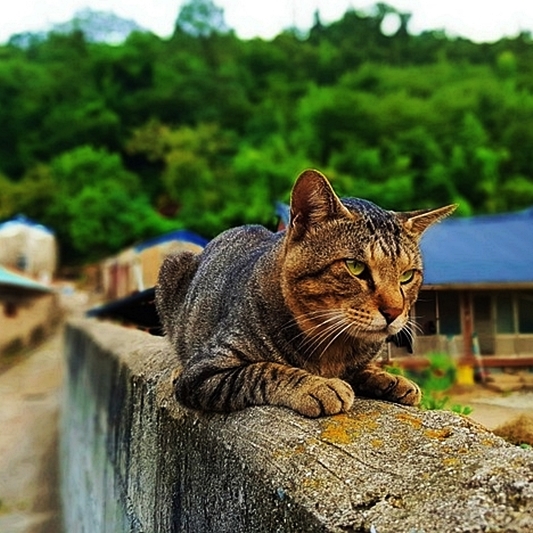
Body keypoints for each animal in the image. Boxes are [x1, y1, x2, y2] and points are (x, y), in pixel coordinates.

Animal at [154, 169, 454, 416]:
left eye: (407, 275)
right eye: (355, 267)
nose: (394, 311)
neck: (333, 347)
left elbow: (362, 369)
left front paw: (390, 379)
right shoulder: (205, 371)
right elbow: (264, 370)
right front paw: (317, 386)